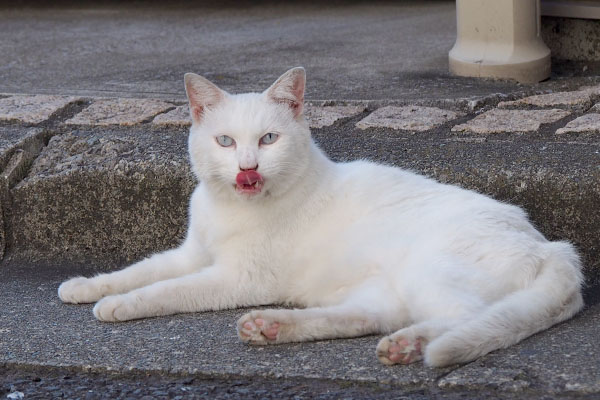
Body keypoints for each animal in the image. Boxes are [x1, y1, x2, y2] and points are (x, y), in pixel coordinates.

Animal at [58, 68, 584, 366]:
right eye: (225, 142)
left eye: (268, 139)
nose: (247, 167)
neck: (229, 209)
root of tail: (553, 248)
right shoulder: (191, 254)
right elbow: (139, 270)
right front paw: (86, 287)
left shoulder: (238, 277)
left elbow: (166, 290)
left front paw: (118, 306)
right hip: (385, 289)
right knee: (368, 317)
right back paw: (272, 327)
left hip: (430, 269)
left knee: (463, 318)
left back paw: (412, 345)